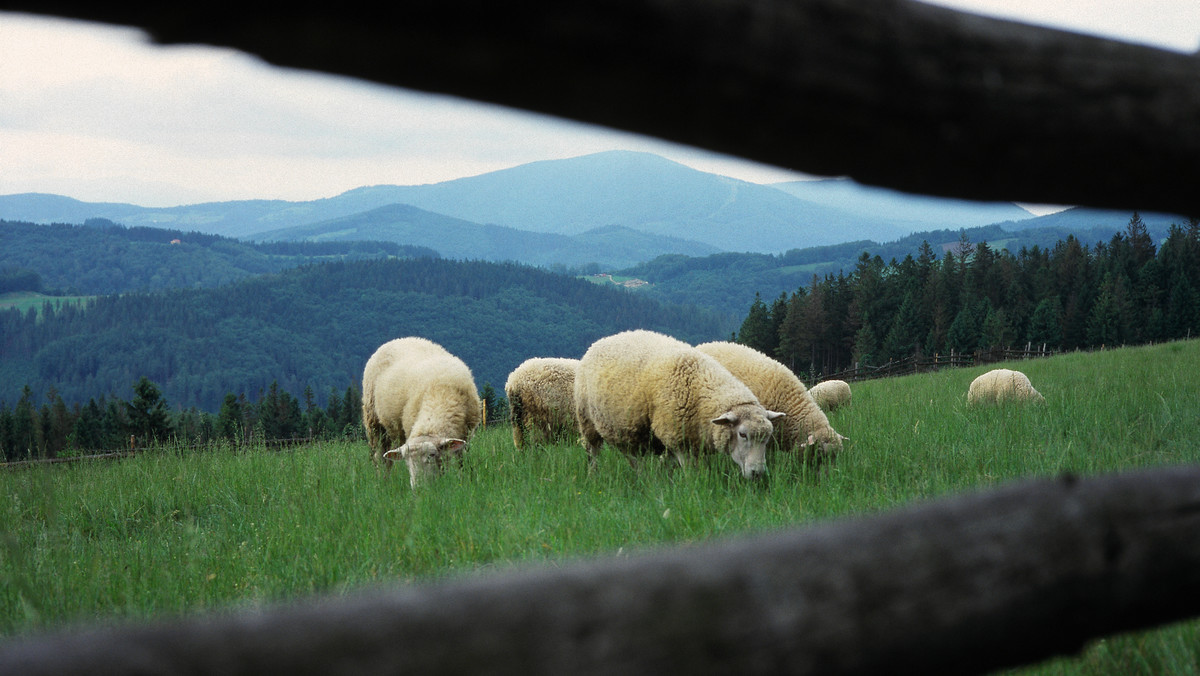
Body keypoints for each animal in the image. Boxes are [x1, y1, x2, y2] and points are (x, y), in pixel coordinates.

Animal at [360, 336, 482, 487]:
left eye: (431, 455)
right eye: (407, 461)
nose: (418, 488)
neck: (440, 394)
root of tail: (399, 339)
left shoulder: (465, 436)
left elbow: (461, 462)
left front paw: (463, 480)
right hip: (374, 422)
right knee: (381, 458)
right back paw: (382, 481)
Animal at [573, 328, 787, 480]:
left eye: (768, 438)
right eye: (742, 434)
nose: (758, 473)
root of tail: (600, 341)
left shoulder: (686, 439)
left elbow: (669, 465)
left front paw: (664, 479)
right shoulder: (677, 438)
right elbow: (690, 471)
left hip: (628, 430)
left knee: (631, 455)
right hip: (587, 420)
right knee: (593, 452)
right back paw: (594, 476)